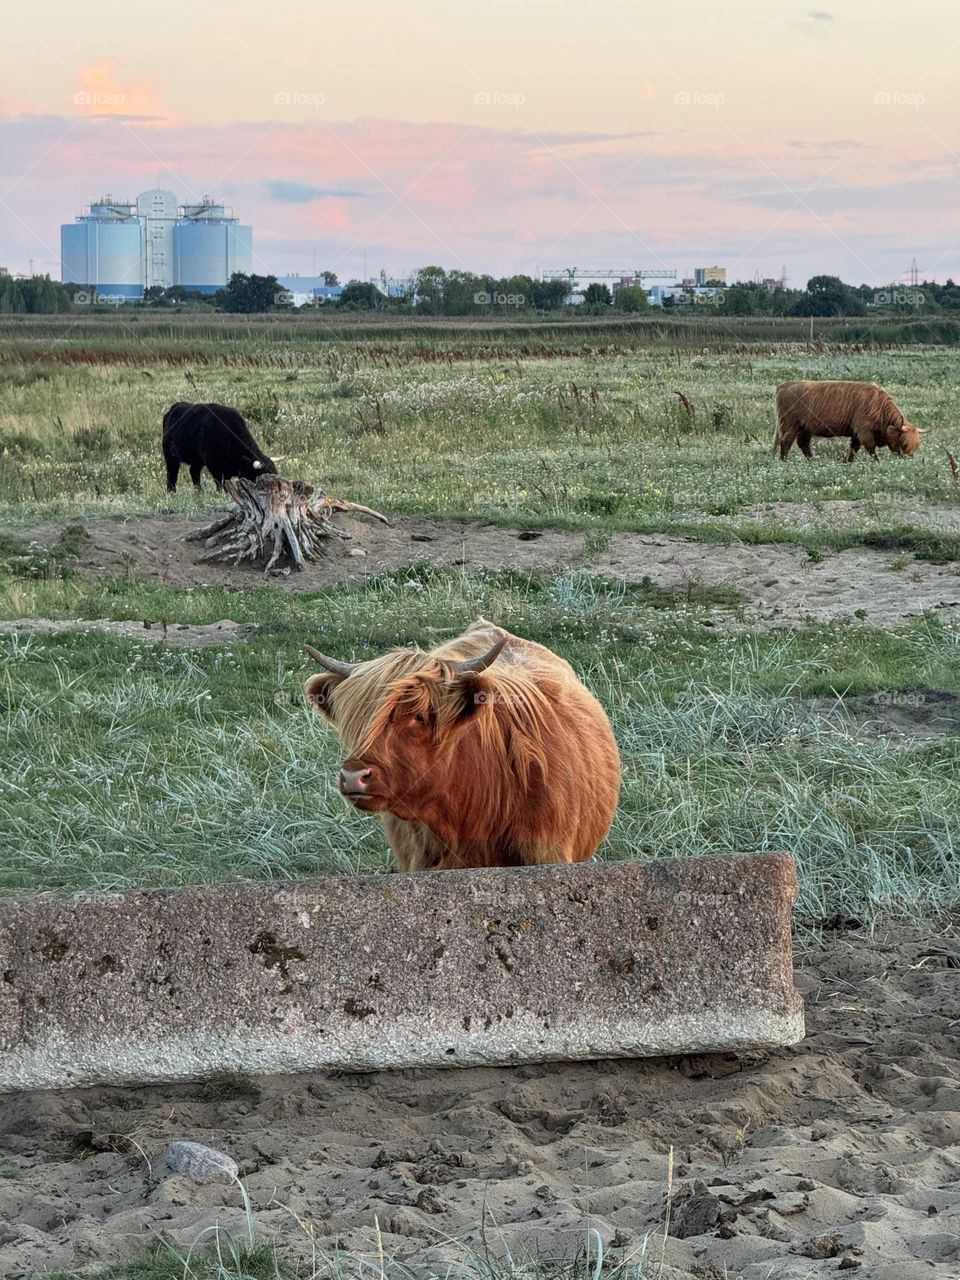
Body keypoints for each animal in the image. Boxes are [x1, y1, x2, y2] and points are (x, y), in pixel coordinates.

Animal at [778, 376, 926, 463]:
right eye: (904, 443)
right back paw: (784, 461)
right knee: (786, 441)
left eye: (917, 445)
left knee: (803, 444)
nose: (909, 461)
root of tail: (786, 385)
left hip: (806, 427)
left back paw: (812, 461)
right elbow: (870, 448)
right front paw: (877, 461)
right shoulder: (864, 431)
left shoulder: (856, 433)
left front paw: (849, 461)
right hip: (791, 424)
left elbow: (854, 448)